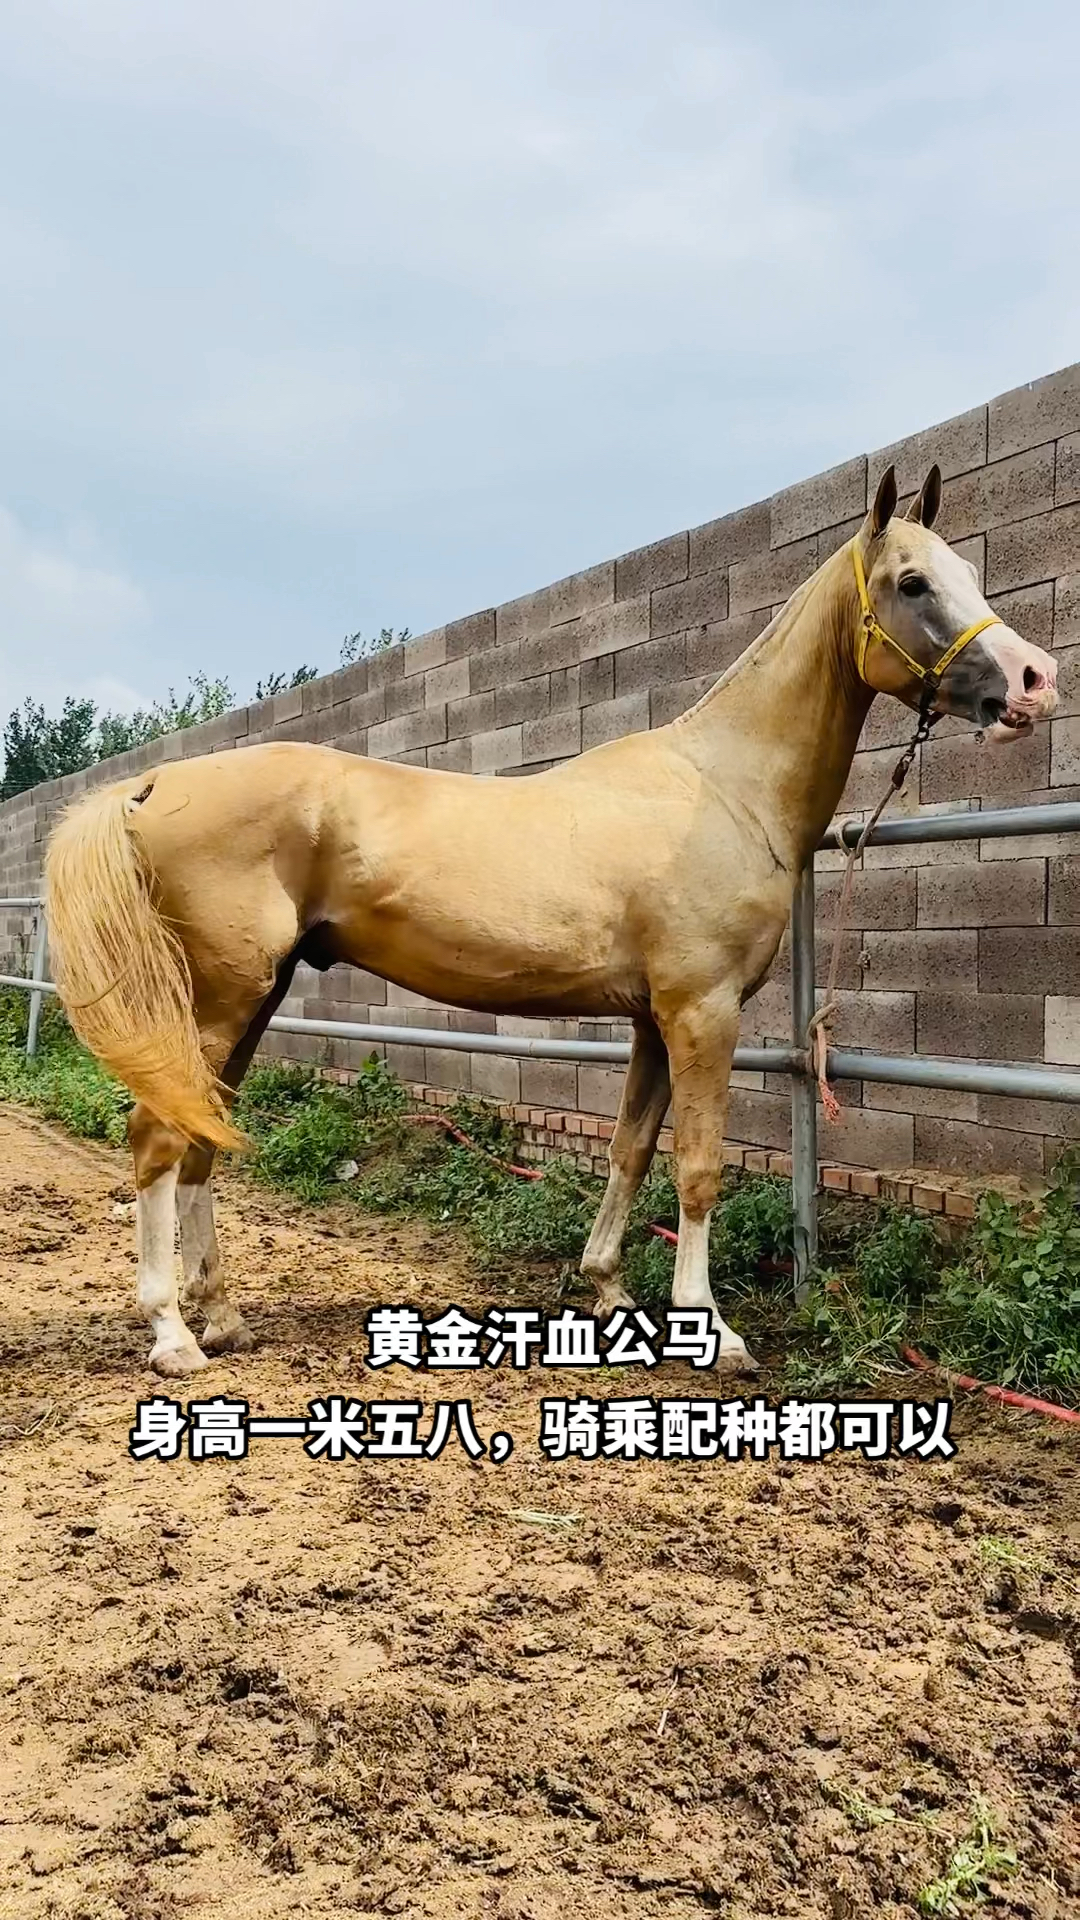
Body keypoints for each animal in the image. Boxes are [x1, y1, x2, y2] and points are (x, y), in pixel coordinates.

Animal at [44, 465, 1057, 1379]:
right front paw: (713, 1331)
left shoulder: (654, 1019)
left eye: (967, 567)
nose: (1034, 681)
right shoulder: (703, 1011)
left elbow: (630, 1151)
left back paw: (222, 1316)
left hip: (253, 997)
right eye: (913, 582)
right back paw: (173, 1335)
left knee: (201, 1137)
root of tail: (154, 783)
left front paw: (608, 1287)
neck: (723, 787)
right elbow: (697, 1168)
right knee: (158, 1137)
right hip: (219, 999)